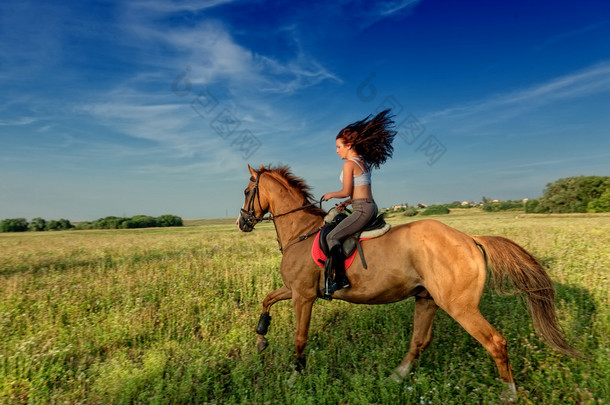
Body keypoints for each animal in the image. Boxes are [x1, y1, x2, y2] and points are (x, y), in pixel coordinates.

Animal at [235, 163, 576, 398]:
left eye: (247, 191)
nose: (242, 222)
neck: (301, 232)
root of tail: (469, 238)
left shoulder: (303, 295)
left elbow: (299, 337)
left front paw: (294, 376)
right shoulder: (292, 290)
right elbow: (267, 300)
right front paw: (261, 340)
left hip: (459, 306)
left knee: (495, 342)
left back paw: (509, 392)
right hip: (426, 299)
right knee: (419, 341)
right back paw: (396, 376)